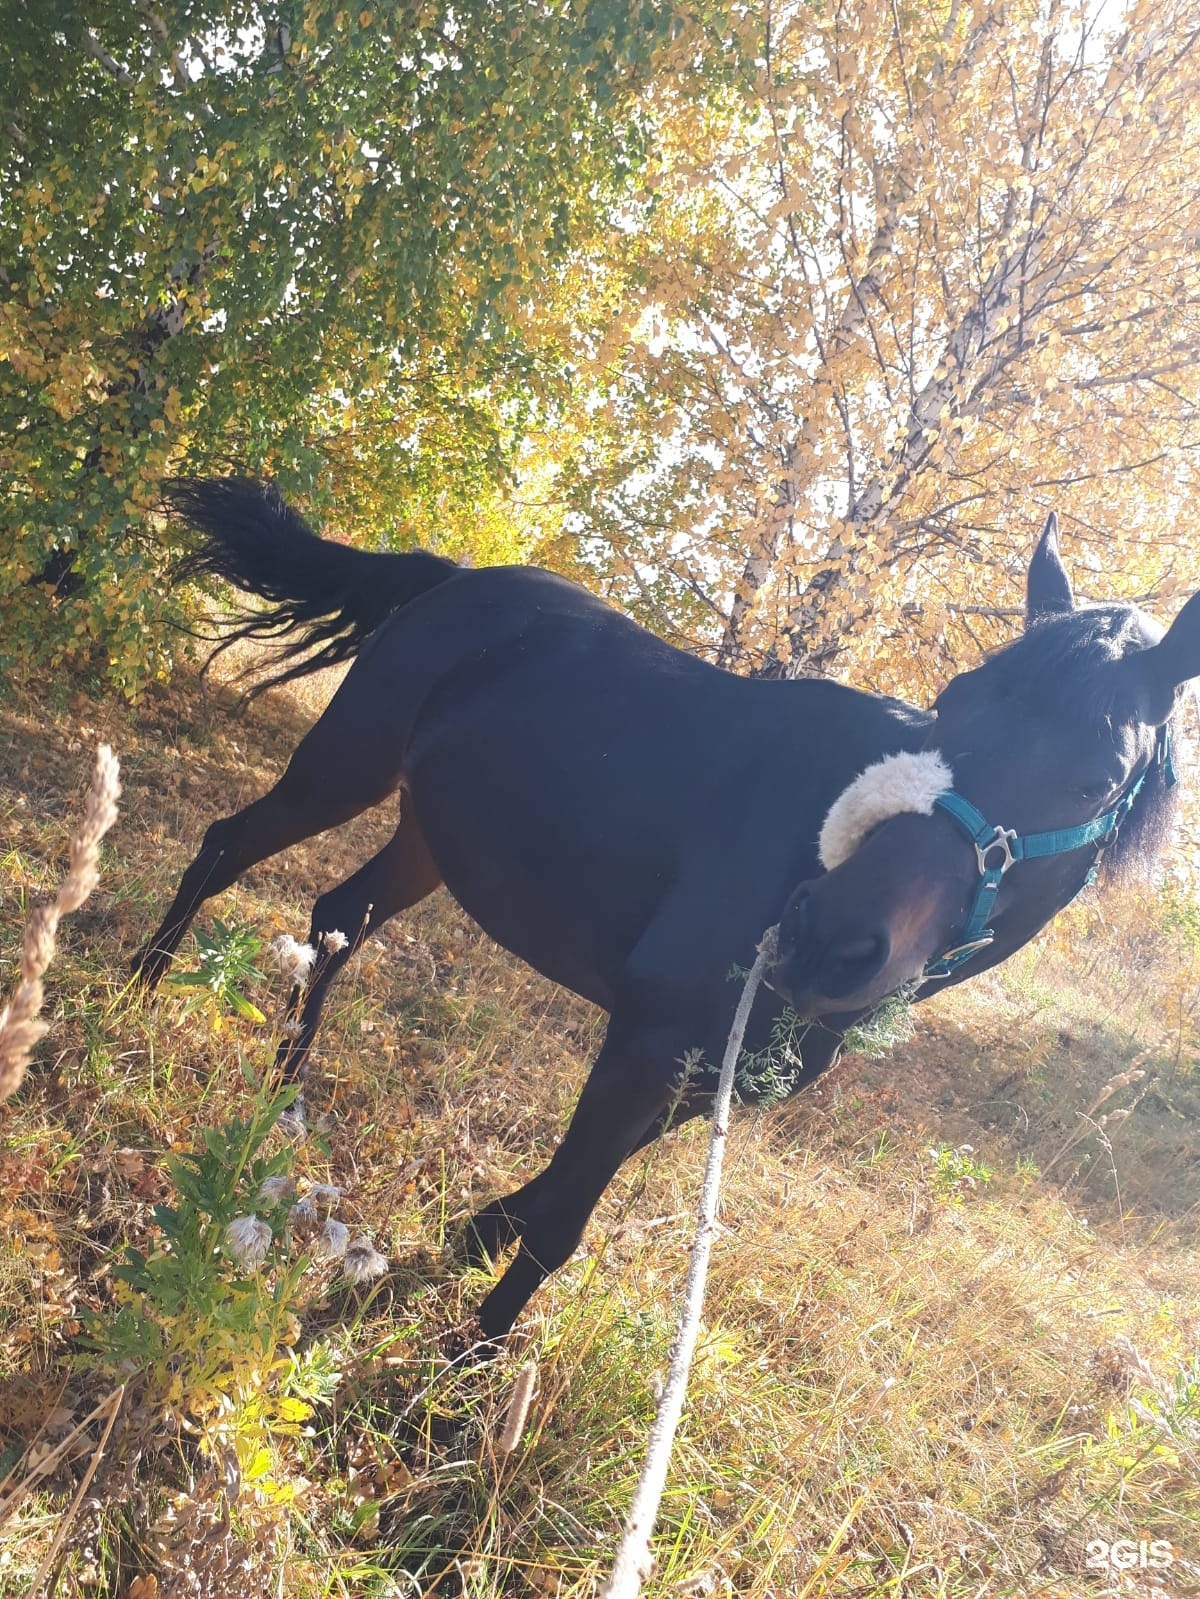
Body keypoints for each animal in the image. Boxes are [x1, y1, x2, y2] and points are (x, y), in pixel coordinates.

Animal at [136, 479, 1196, 1343]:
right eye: (953, 703)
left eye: (1096, 775)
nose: (825, 939)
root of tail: (458, 580)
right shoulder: (649, 1039)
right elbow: (560, 1225)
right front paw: (461, 1382)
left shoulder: (704, 1074)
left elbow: (561, 1195)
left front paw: (473, 1238)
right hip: (344, 764)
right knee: (226, 848)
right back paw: (139, 993)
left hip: (429, 839)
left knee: (340, 915)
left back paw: (283, 1092)